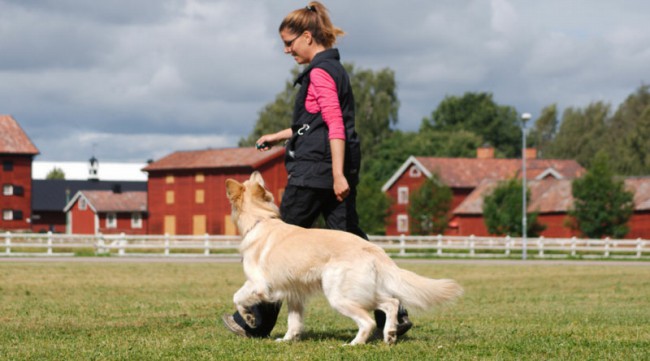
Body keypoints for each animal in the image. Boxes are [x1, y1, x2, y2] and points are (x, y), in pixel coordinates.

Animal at [224, 172, 460, 344]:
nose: (255, 171)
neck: (260, 220)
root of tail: (372, 248)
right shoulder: (294, 293)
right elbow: (294, 321)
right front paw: (288, 339)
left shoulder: (260, 285)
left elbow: (237, 297)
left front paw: (248, 318)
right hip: (361, 292)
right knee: (391, 303)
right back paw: (390, 334)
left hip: (339, 296)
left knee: (368, 321)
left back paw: (355, 344)